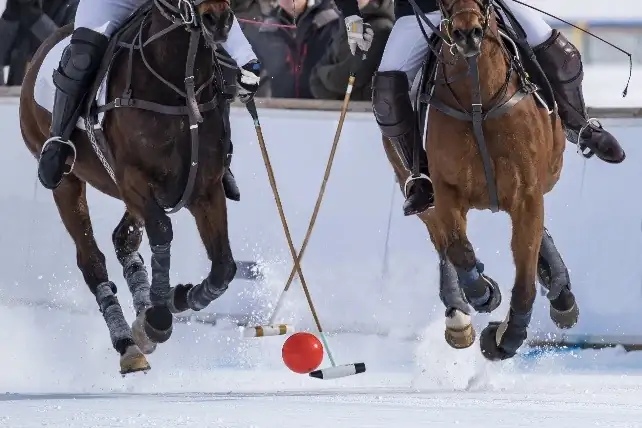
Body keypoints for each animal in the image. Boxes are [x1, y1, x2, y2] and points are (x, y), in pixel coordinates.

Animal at [19, 0, 238, 375]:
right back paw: (127, 344)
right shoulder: (133, 179)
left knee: (123, 240)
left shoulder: (207, 187)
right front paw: (159, 317)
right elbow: (163, 230)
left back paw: (140, 318)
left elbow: (225, 267)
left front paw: (176, 298)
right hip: (65, 180)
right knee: (91, 260)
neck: (179, 86)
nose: (217, 20)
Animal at [381, 0, 579, 360]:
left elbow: (525, 278)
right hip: (413, 183)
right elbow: (459, 251)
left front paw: (506, 337)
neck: (478, 100)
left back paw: (560, 291)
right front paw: (484, 294)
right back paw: (457, 315)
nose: (468, 33)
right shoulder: (446, 191)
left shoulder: (527, 193)